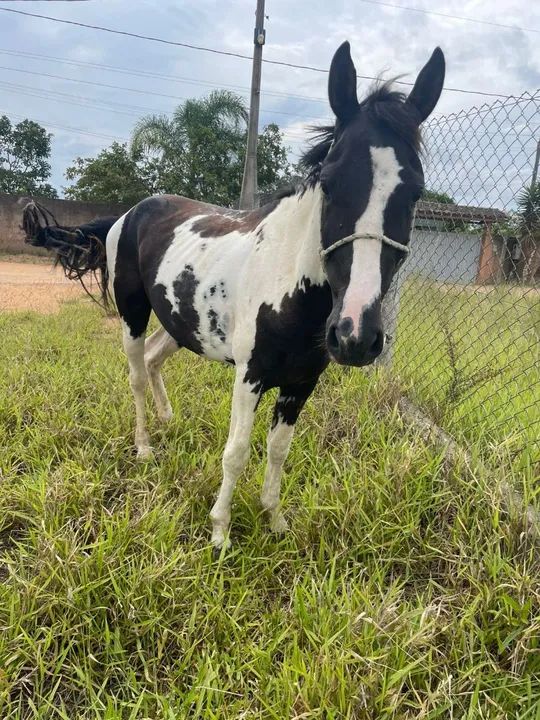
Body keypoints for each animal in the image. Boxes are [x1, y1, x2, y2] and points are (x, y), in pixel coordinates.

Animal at [23, 42, 445, 549]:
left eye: (415, 190)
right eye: (330, 180)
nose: (356, 335)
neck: (289, 288)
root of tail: (128, 214)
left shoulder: (302, 382)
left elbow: (278, 450)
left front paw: (274, 518)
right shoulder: (251, 375)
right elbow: (237, 451)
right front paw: (220, 532)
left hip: (182, 324)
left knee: (155, 359)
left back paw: (169, 420)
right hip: (133, 314)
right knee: (137, 375)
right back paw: (144, 446)